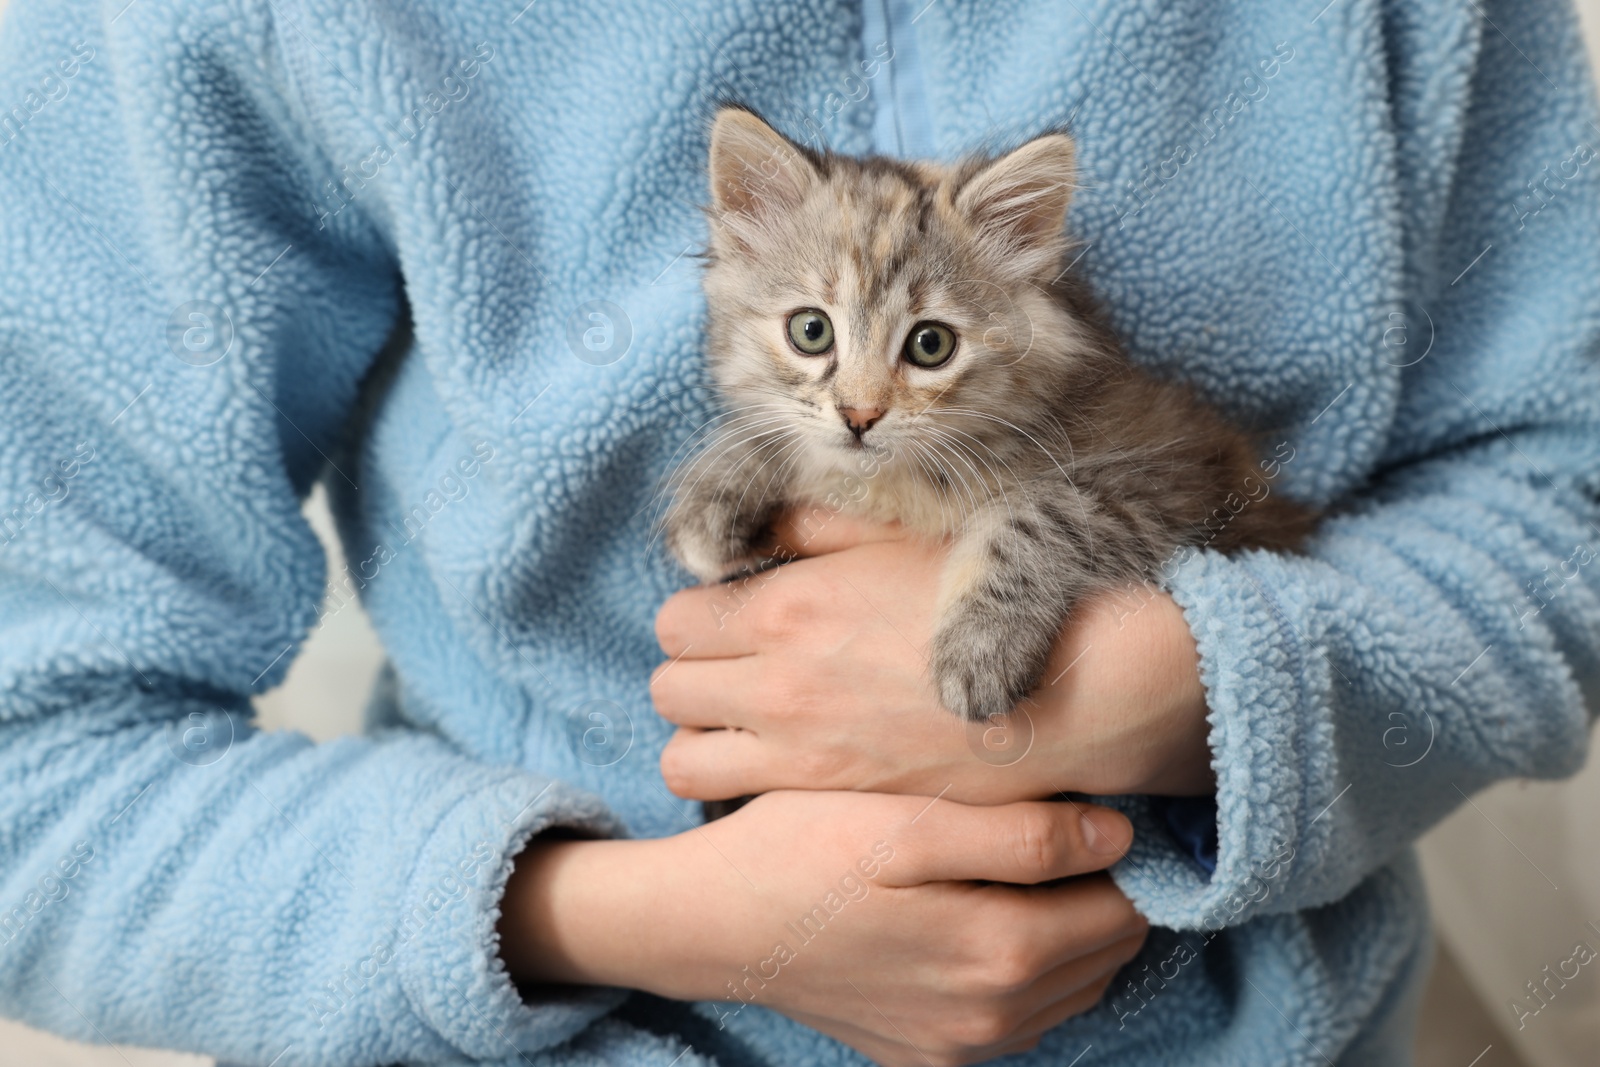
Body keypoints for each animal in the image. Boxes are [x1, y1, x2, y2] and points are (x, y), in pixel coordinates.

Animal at [662, 106, 1312, 726]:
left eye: (930, 344)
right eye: (811, 331)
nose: (860, 415)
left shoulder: (1174, 468)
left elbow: (1036, 517)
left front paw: (981, 646)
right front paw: (712, 498)